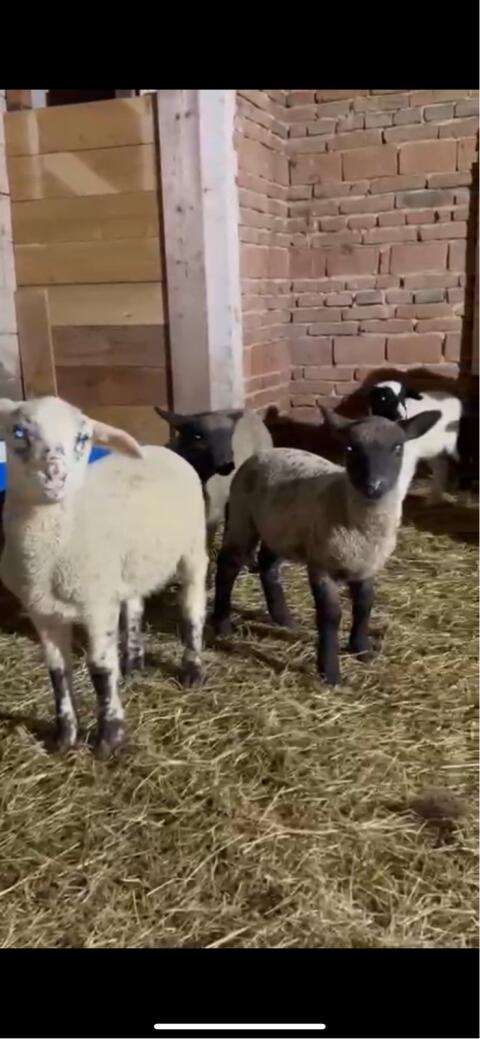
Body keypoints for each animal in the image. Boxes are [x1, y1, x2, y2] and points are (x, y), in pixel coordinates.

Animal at [0, 396, 208, 758]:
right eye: (19, 432)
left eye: (83, 438)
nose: (55, 476)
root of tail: (160, 449)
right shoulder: (41, 611)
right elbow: (57, 672)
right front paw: (64, 737)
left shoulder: (96, 605)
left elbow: (99, 669)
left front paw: (109, 738)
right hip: (128, 567)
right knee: (135, 606)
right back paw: (133, 662)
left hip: (193, 546)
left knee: (193, 607)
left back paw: (192, 668)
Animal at [212, 407, 441, 686]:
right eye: (351, 447)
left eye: (397, 447)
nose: (373, 486)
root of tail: (266, 452)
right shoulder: (322, 566)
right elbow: (331, 615)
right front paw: (330, 672)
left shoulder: (367, 565)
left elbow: (364, 604)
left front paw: (362, 649)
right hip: (242, 517)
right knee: (228, 566)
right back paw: (222, 624)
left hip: (280, 529)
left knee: (268, 565)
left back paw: (283, 617)